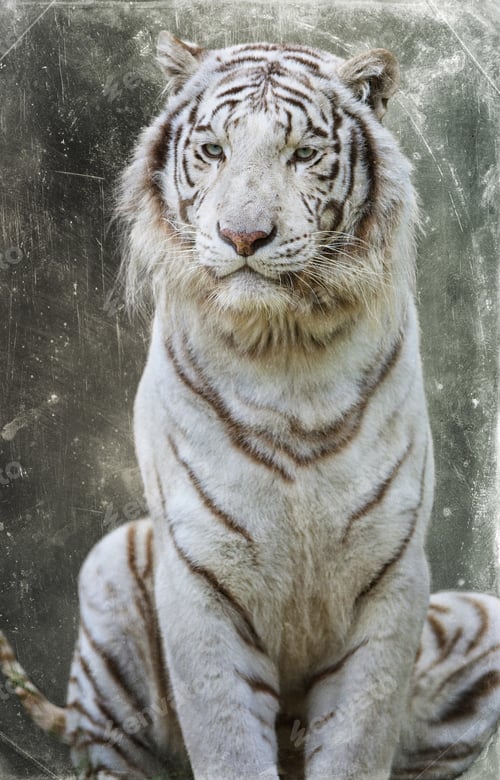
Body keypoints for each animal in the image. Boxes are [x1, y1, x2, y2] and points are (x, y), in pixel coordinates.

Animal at [1, 30, 499, 780]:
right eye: (213, 150)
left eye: (303, 154)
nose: (243, 237)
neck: (285, 353)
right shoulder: (199, 575)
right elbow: (228, 740)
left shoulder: (390, 578)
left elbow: (357, 742)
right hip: (112, 577)